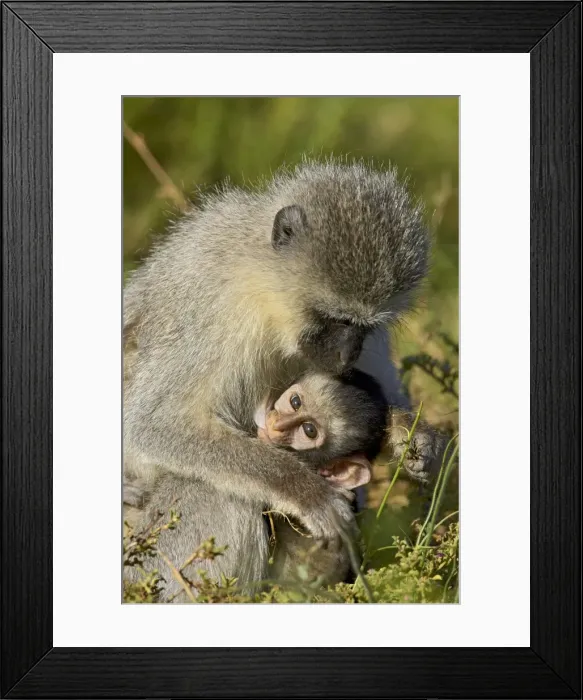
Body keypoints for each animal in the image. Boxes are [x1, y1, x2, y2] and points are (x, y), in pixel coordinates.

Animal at [123, 157, 431, 600]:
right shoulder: (216, 312)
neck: (264, 288)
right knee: (219, 492)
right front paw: (304, 490)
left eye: (365, 327)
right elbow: (155, 425)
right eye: (334, 318)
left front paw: (407, 429)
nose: (346, 356)